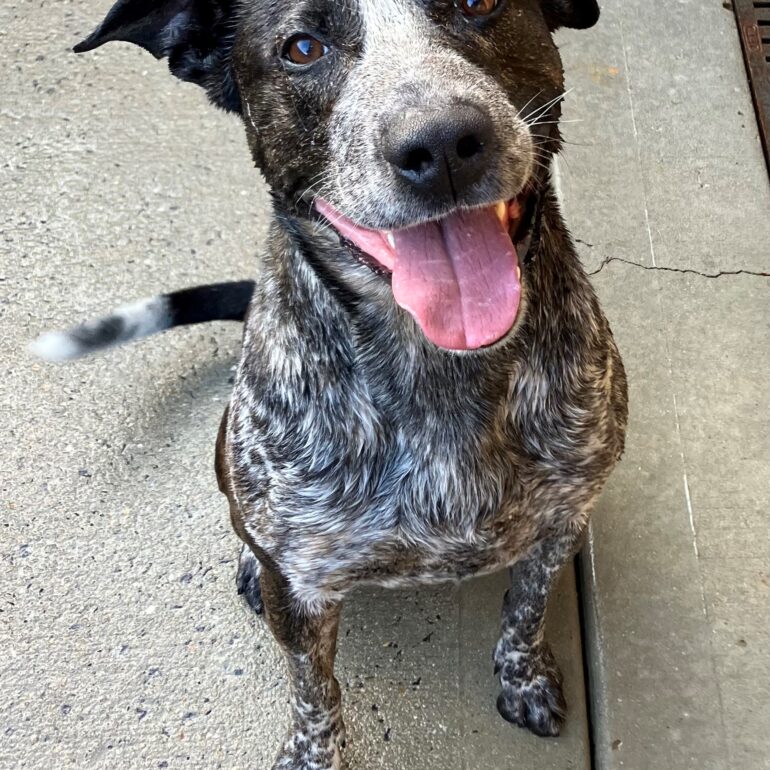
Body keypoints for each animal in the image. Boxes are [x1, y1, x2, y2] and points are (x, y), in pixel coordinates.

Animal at [33, 3, 628, 764]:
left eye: (477, 4)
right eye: (302, 48)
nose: (441, 143)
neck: (437, 366)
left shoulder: (562, 524)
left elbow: (525, 608)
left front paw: (523, 675)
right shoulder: (304, 589)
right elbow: (314, 690)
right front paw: (313, 753)